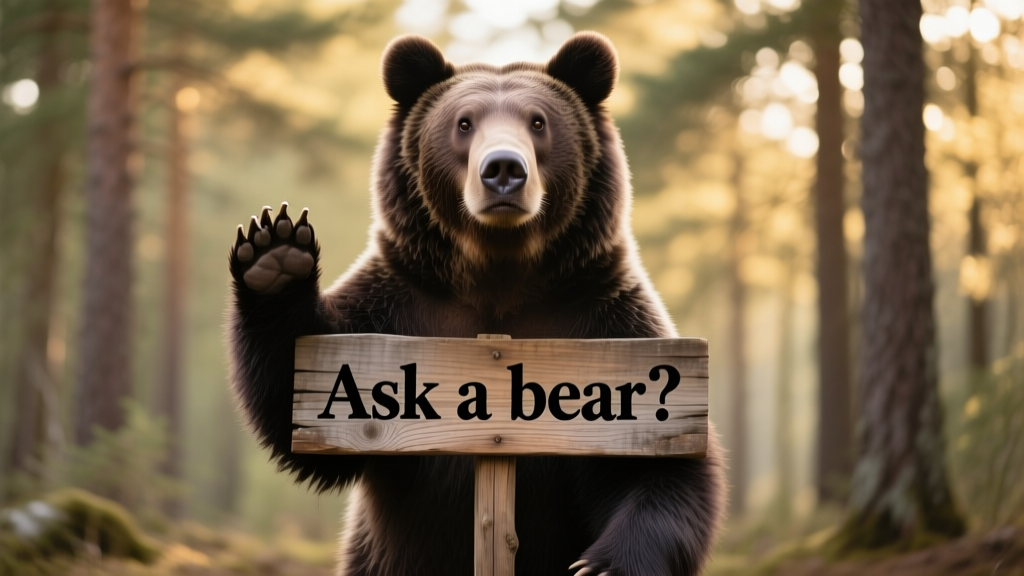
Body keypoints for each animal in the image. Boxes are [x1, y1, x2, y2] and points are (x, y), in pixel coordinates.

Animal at [227, 32, 726, 576]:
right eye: (464, 122)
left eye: (538, 121)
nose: (503, 170)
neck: (498, 277)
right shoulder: (400, 305)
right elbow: (300, 405)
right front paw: (275, 253)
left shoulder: (602, 319)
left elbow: (661, 465)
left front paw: (604, 565)